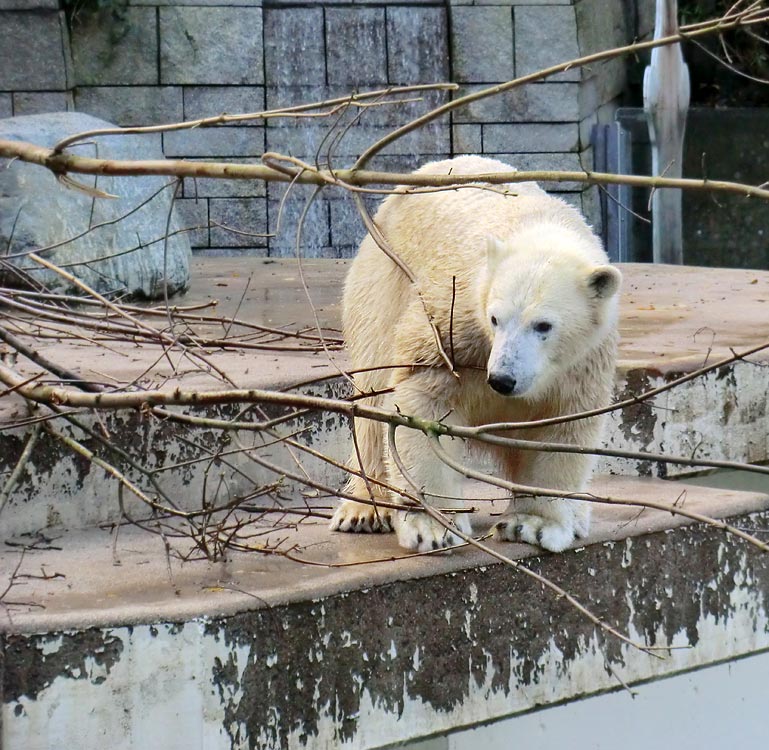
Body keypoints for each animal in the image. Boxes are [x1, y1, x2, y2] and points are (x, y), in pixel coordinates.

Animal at [328, 156, 616, 556]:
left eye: (543, 325)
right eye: (495, 318)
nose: (502, 379)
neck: (539, 225)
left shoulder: (582, 362)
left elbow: (563, 423)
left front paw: (533, 525)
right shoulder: (456, 321)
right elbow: (425, 397)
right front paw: (434, 528)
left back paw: (578, 517)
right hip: (382, 281)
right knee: (372, 391)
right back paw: (363, 511)